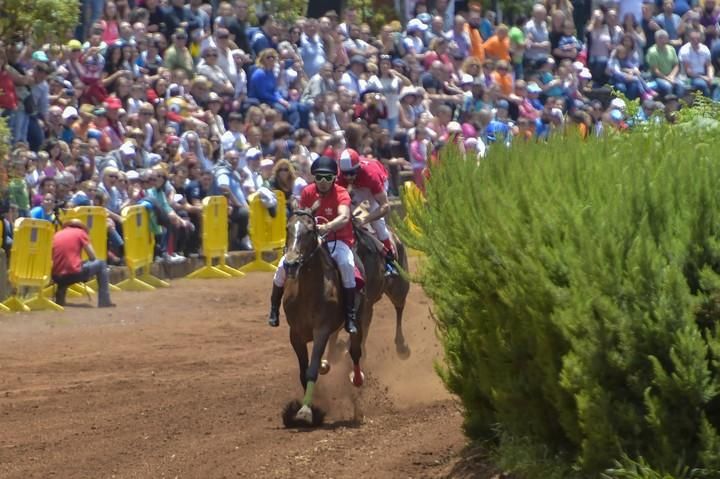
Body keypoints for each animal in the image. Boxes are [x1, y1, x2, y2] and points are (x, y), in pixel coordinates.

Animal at [278, 211, 362, 428]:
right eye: (287, 228)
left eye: (309, 231)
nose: (290, 263)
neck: (308, 292)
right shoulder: (295, 334)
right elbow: (303, 371)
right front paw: (306, 407)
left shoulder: (321, 329)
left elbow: (312, 370)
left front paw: (305, 412)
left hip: (359, 316)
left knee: (355, 351)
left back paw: (357, 380)